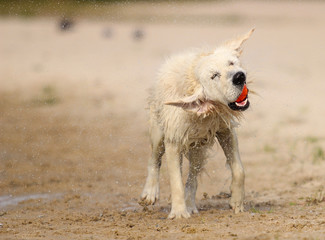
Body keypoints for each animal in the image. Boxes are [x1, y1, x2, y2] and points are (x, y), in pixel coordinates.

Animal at [139, 29, 253, 218]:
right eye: (214, 75)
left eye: (231, 63)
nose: (239, 76)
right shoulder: (174, 140)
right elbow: (175, 181)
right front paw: (178, 212)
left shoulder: (225, 131)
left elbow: (239, 170)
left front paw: (237, 201)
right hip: (158, 133)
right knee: (154, 160)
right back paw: (150, 193)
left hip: (199, 147)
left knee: (192, 176)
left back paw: (190, 204)